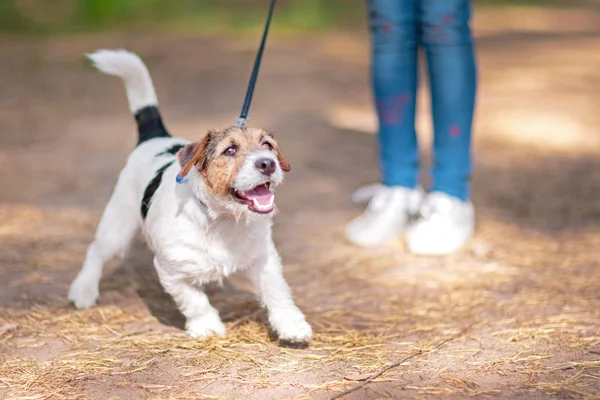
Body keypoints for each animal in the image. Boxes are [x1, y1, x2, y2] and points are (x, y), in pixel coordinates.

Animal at [69, 48, 314, 346]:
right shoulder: (171, 271)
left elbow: (277, 292)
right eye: (230, 150)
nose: (268, 163)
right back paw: (83, 290)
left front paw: (291, 325)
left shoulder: (264, 258)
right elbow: (194, 300)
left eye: (267, 145)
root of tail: (156, 138)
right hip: (117, 225)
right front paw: (207, 326)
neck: (222, 220)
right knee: (95, 252)